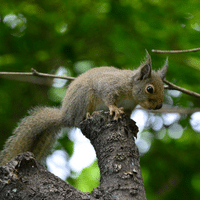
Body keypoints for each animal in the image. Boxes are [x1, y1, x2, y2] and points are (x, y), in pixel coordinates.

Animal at [0, 51, 168, 166]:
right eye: (150, 89)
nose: (158, 106)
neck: (131, 90)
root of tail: (65, 116)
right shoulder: (109, 86)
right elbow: (109, 98)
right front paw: (114, 109)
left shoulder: (129, 106)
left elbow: (128, 115)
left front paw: (132, 124)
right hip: (85, 96)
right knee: (80, 117)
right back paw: (90, 113)